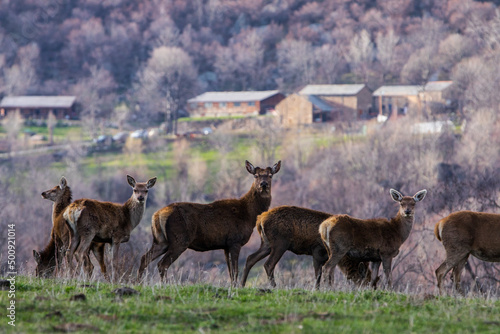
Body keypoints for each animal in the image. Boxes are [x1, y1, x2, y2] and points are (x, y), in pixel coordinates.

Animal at [139, 160, 282, 286]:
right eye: (256, 175)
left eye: (270, 175)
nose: (263, 184)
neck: (249, 215)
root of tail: (157, 215)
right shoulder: (235, 241)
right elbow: (235, 270)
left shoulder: (226, 245)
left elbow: (230, 272)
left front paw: (232, 286)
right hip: (179, 240)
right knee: (162, 264)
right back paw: (165, 285)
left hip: (161, 241)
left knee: (144, 258)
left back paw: (139, 282)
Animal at [240, 205, 374, 288]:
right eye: (364, 277)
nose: (366, 288)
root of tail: (260, 220)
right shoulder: (317, 251)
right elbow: (319, 274)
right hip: (280, 243)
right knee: (268, 264)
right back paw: (274, 286)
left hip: (266, 244)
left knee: (250, 258)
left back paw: (241, 284)